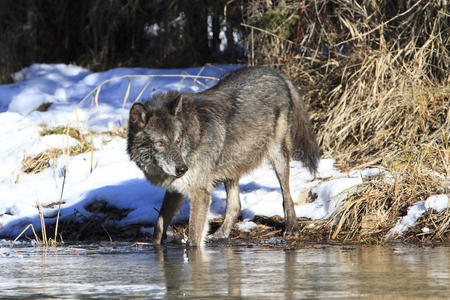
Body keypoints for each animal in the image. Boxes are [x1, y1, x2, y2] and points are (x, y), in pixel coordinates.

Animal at [126, 66, 320, 246]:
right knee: (235, 206)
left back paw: (292, 229)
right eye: (160, 143)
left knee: (287, 197)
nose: (182, 169)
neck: (191, 142)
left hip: (276, 155)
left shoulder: (200, 192)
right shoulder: (175, 190)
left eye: (178, 140)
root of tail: (276, 72)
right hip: (231, 166)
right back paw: (221, 234)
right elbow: (159, 226)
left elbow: (193, 240)